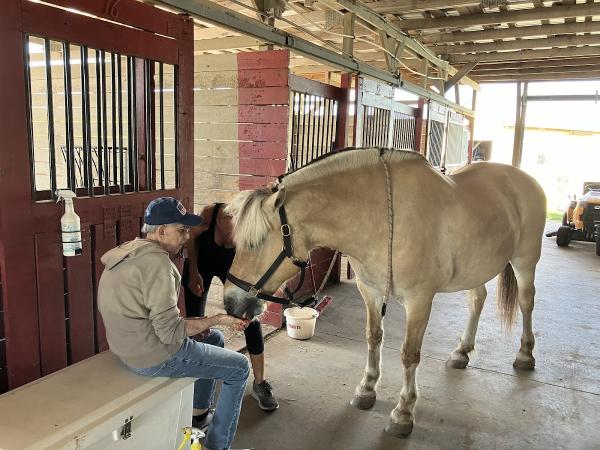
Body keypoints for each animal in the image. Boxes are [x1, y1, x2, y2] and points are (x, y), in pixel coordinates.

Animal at [221, 148, 548, 436]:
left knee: (526, 302)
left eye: (256, 241)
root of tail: (525, 179)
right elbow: (373, 337)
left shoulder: (419, 301)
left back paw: (525, 355)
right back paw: (461, 352)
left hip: (525, 261)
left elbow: (409, 354)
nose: (230, 302)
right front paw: (366, 390)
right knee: (477, 301)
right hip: (475, 269)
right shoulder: (370, 291)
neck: (378, 219)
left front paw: (403, 413)